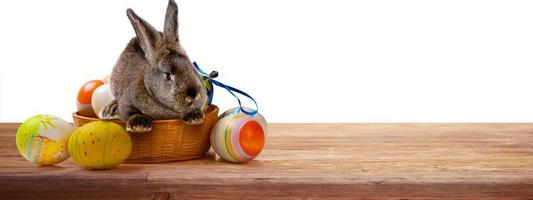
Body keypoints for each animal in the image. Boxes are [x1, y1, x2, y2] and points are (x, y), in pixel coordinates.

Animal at [101, 0, 207, 134]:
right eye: (168, 75)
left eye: (191, 67)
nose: (193, 95)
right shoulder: (126, 102)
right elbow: (130, 112)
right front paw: (139, 125)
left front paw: (195, 116)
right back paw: (109, 109)